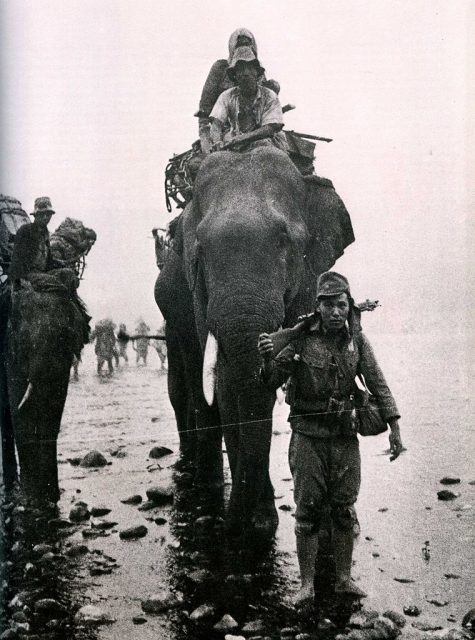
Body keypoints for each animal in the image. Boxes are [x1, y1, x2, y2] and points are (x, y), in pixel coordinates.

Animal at [154, 146, 356, 536]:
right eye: (200, 253)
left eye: (285, 242)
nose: (231, 528)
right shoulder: (197, 297)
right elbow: (226, 385)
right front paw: (255, 523)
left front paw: (262, 522)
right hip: (172, 310)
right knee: (186, 384)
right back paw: (202, 479)